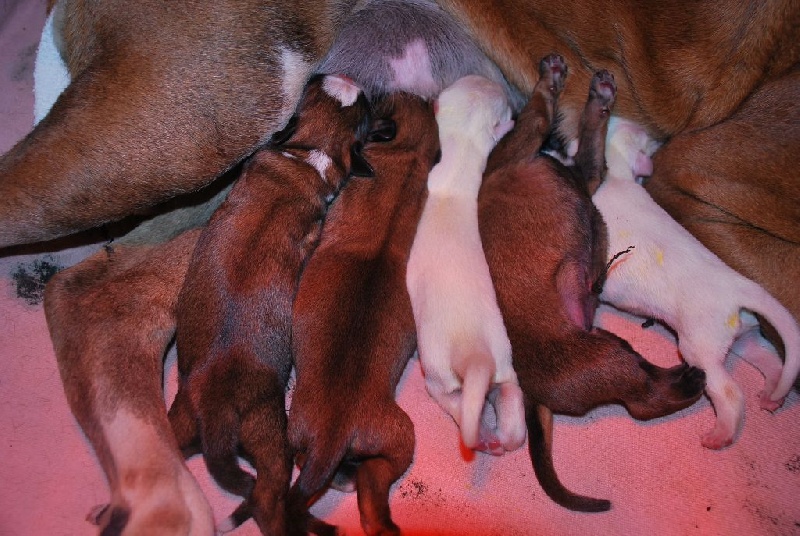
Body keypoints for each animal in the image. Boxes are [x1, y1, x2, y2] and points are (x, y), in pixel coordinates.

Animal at [166, 73, 378, 532]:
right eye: (367, 111)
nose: (344, 76)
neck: (308, 155)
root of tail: (216, 412)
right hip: (267, 433)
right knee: (268, 496)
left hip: (185, 419)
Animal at [406, 73, 524, 454]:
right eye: (472, 80)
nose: (489, 76)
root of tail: (476, 356)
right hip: (505, 365)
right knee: (512, 407)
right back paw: (498, 438)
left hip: (436, 367)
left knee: (449, 398)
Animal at [478, 56, 704, 512]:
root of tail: (533, 396)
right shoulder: (530, 138)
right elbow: (541, 109)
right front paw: (552, 80)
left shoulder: (586, 173)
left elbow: (589, 136)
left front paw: (598, 98)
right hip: (606, 358)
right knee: (644, 400)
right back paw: (689, 382)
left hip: (611, 343)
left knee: (646, 378)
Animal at [592, 116, 800, 448]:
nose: (660, 141)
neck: (619, 175)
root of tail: (742, 287)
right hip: (739, 334)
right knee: (771, 360)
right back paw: (771, 396)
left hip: (698, 347)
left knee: (730, 393)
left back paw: (719, 436)